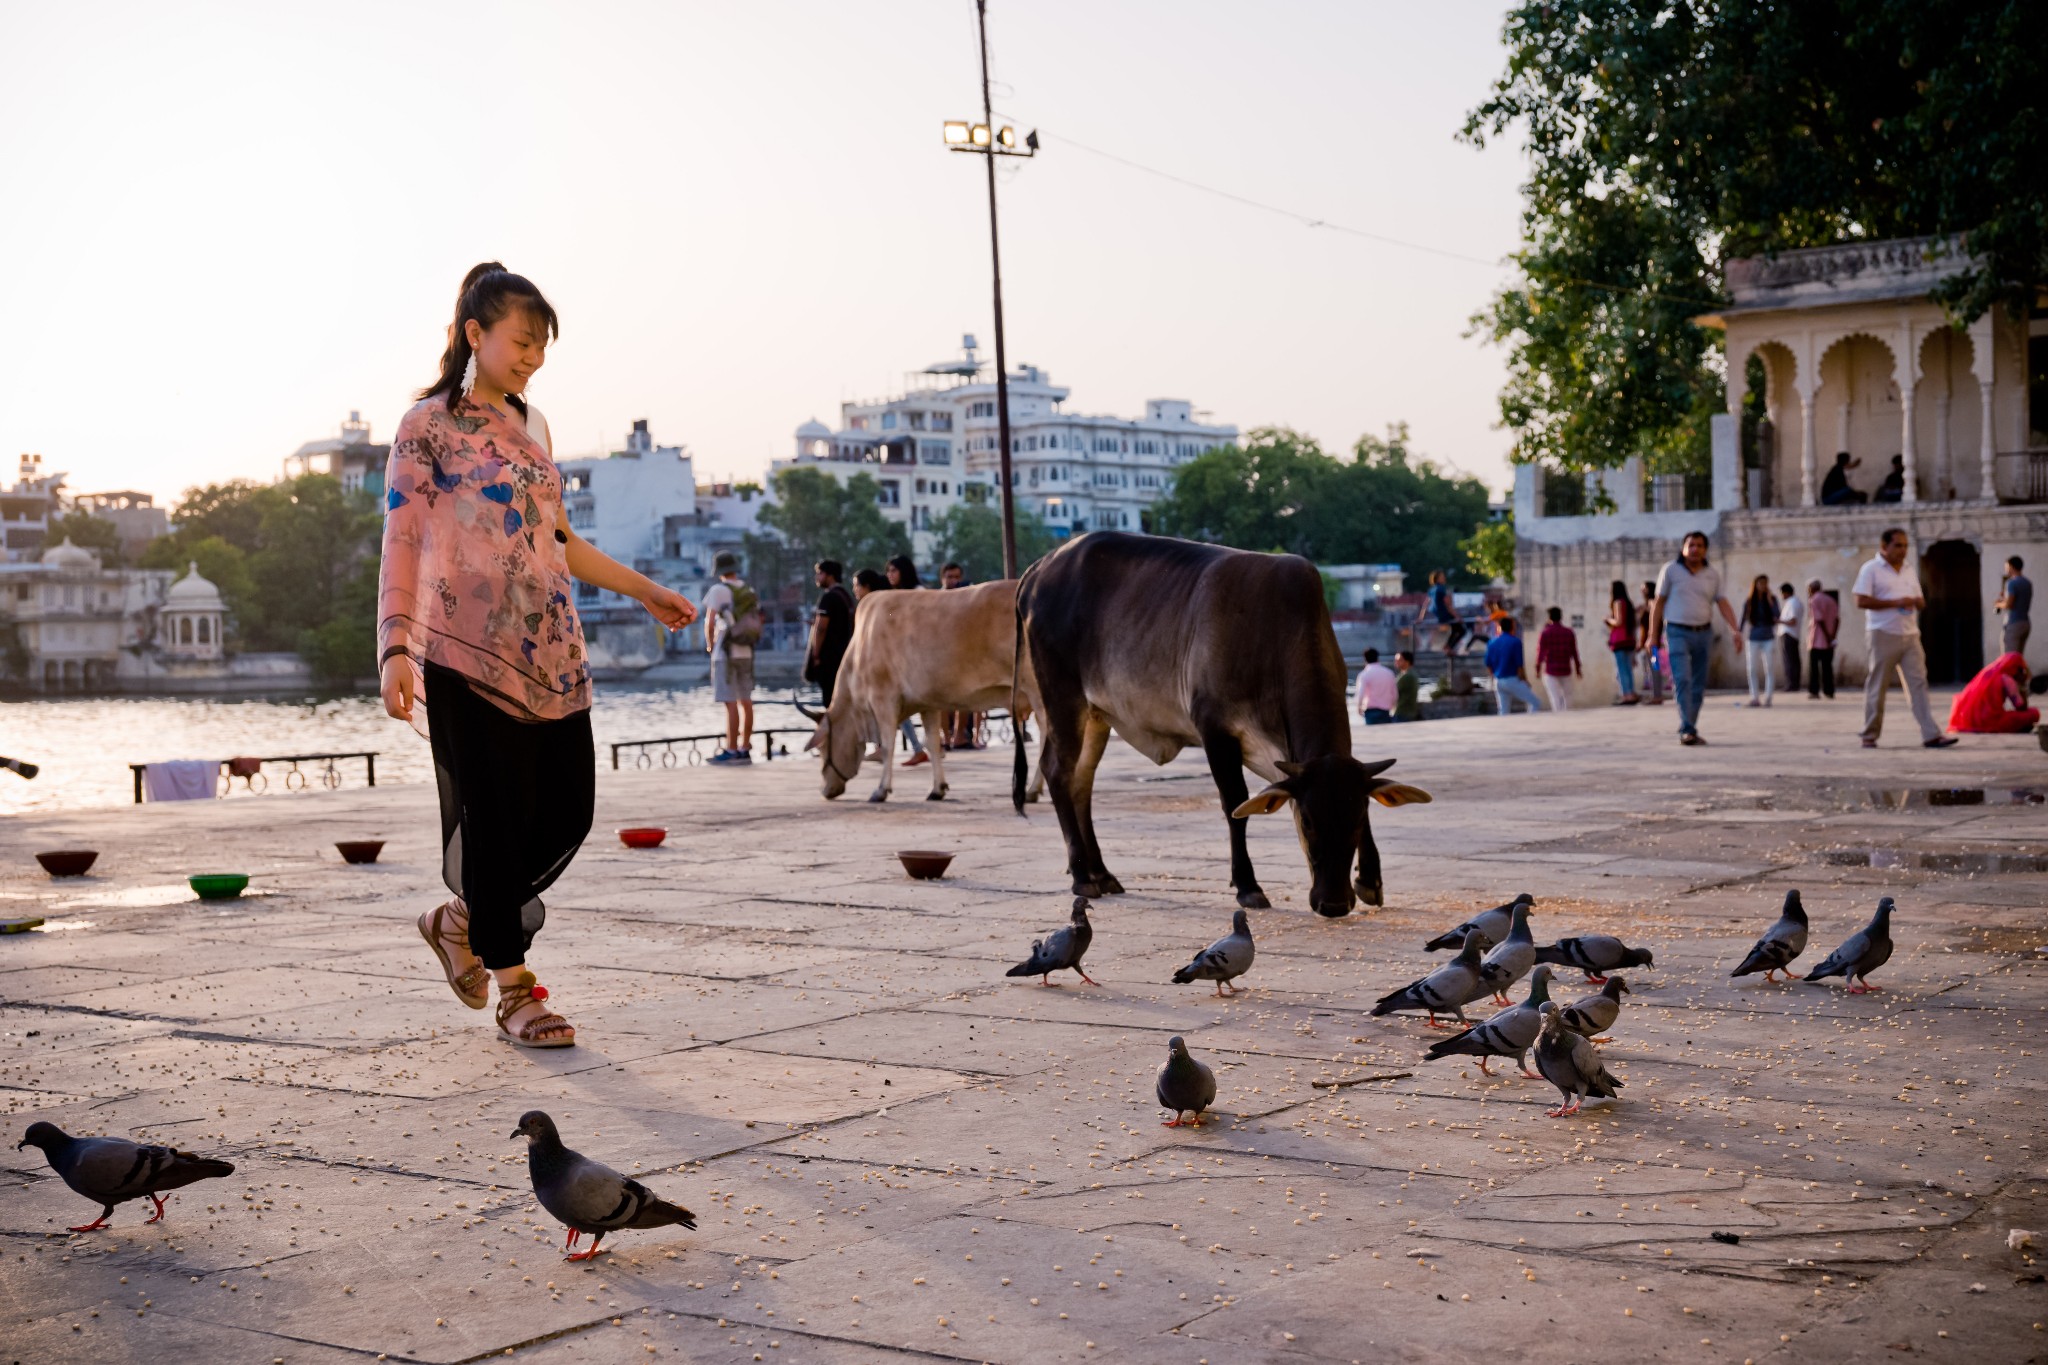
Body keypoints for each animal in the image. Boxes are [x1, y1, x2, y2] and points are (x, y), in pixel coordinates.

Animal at [811, 577, 1040, 802]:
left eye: (822, 747)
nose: (824, 791)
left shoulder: (883, 699)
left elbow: (888, 746)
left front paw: (881, 789)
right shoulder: (927, 703)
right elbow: (933, 743)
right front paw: (937, 788)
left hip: (1037, 691)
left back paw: (1032, 790)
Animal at [1015, 532, 1433, 916]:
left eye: (1358, 819)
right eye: (1308, 820)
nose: (1333, 904)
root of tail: (1039, 567)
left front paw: (1370, 880)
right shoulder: (1215, 728)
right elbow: (1235, 803)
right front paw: (1247, 885)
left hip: (1096, 714)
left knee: (1082, 783)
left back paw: (1101, 873)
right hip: (1062, 699)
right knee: (1058, 772)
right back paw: (1082, 875)